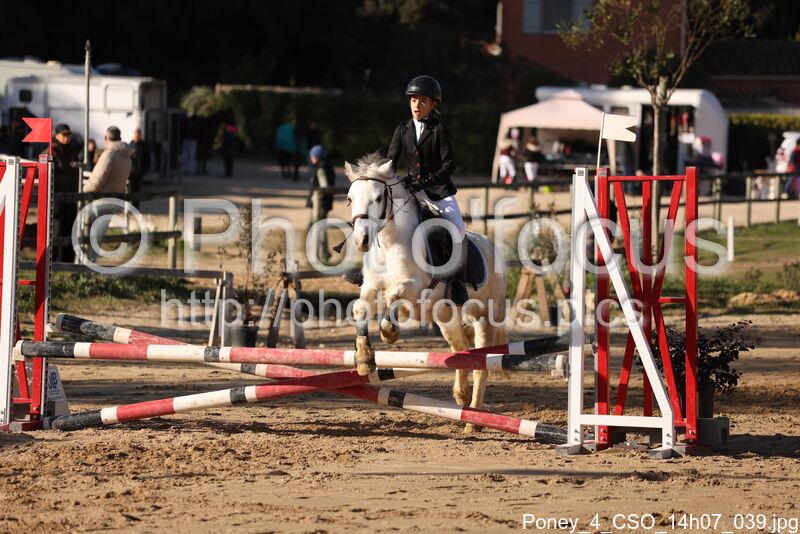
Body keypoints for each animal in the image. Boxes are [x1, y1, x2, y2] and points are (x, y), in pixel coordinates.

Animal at [344, 152, 507, 431]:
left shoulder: (415, 287)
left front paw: (390, 333)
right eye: (350, 198)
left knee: (480, 364)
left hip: (485, 317)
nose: (362, 241)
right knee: (461, 349)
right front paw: (365, 359)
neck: (389, 243)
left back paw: (473, 419)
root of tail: (494, 251)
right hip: (446, 319)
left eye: (378, 198)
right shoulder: (371, 285)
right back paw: (461, 396)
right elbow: (360, 308)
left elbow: (393, 298)